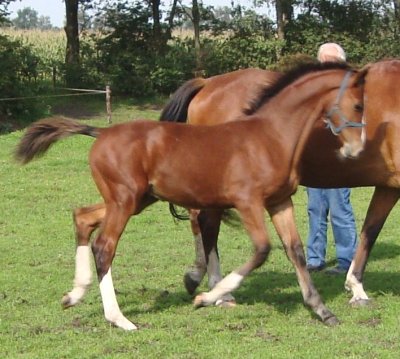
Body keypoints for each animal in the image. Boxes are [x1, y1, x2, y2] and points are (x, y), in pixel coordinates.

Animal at [16, 62, 368, 332]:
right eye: (359, 105)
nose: (356, 149)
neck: (271, 136)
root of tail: (101, 131)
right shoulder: (248, 202)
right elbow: (261, 250)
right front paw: (208, 297)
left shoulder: (280, 202)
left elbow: (294, 250)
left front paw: (322, 310)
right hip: (125, 201)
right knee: (105, 247)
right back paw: (120, 319)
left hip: (135, 200)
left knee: (83, 218)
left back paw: (74, 294)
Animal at [159, 58, 400, 310]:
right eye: (358, 106)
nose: (356, 148)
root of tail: (207, 83)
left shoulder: (389, 187)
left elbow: (370, 230)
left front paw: (356, 288)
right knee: (207, 223)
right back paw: (219, 290)